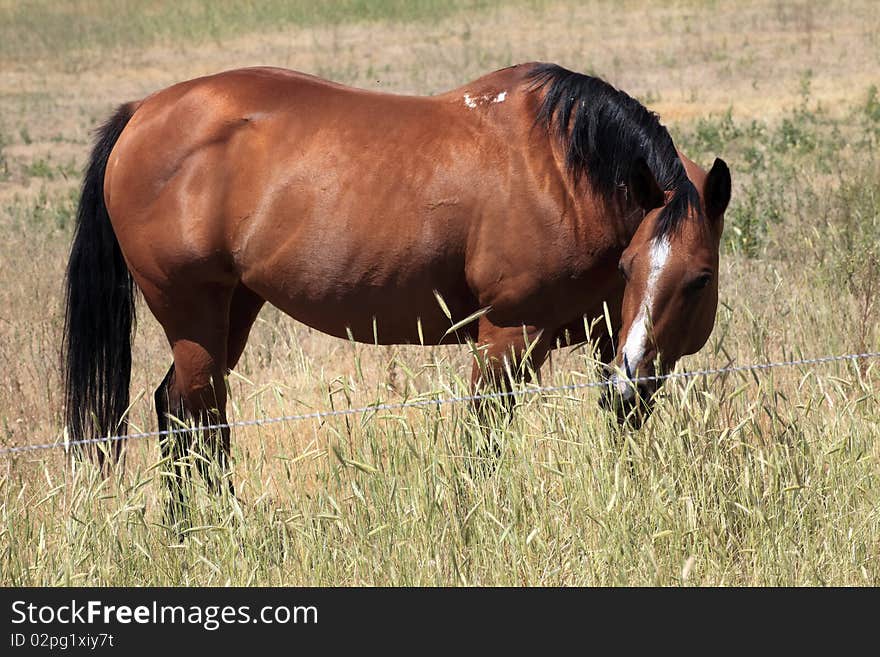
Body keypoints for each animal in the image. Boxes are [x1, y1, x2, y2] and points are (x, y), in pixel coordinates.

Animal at [63, 60, 728, 524]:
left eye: (699, 278)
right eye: (630, 266)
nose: (629, 386)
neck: (564, 176)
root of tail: (143, 112)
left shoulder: (609, 343)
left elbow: (619, 429)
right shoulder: (508, 336)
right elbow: (483, 438)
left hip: (233, 308)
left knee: (180, 410)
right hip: (192, 313)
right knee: (196, 415)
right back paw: (215, 528)